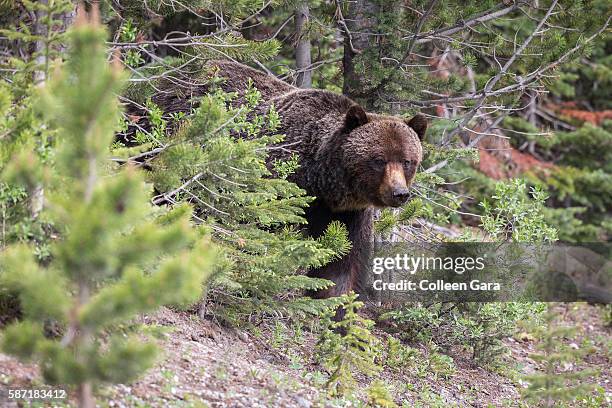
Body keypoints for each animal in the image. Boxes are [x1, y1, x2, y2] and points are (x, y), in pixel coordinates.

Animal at [151, 59, 426, 296]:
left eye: (407, 161)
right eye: (378, 160)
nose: (399, 193)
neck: (320, 181)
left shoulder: (348, 214)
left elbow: (342, 263)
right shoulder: (277, 185)